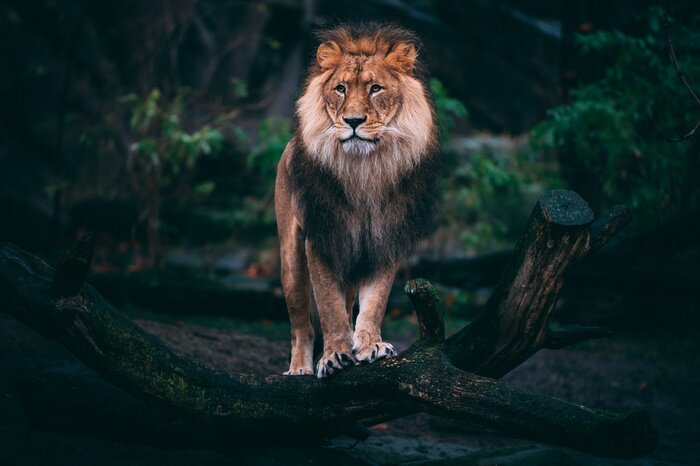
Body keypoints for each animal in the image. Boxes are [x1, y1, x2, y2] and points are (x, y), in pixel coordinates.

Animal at [275, 24, 440, 378]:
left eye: (376, 88)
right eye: (340, 88)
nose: (352, 121)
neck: (363, 171)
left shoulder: (385, 239)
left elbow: (375, 303)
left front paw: (370, 345)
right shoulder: (321, 237)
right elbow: (329, 307)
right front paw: (335, 355)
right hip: (291, 259)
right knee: (301, 324)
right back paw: (299, 369)